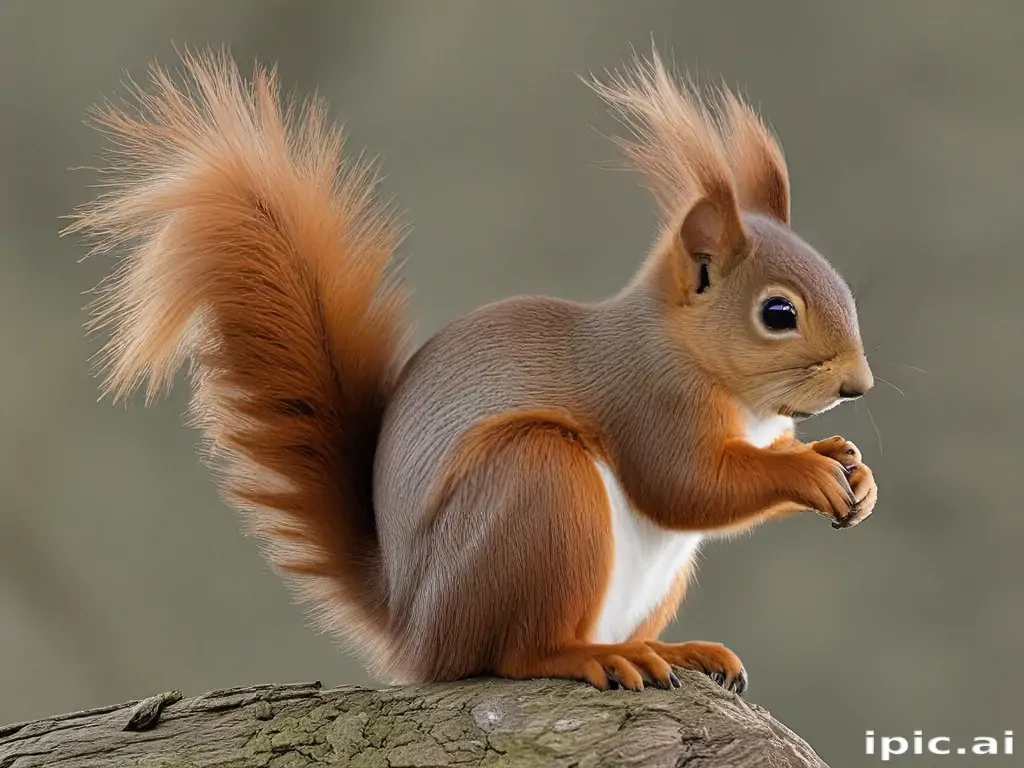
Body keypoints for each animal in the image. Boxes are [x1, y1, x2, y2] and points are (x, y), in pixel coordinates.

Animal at [66, 47, 877, 696]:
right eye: (778, 312)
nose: (857, 387)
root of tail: (415, 633)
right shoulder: (646, 399)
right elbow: (687, 486)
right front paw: (805, 471)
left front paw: (848, 465)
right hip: (535, 485)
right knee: (511, 654)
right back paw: (591, 658)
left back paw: (672, 649)